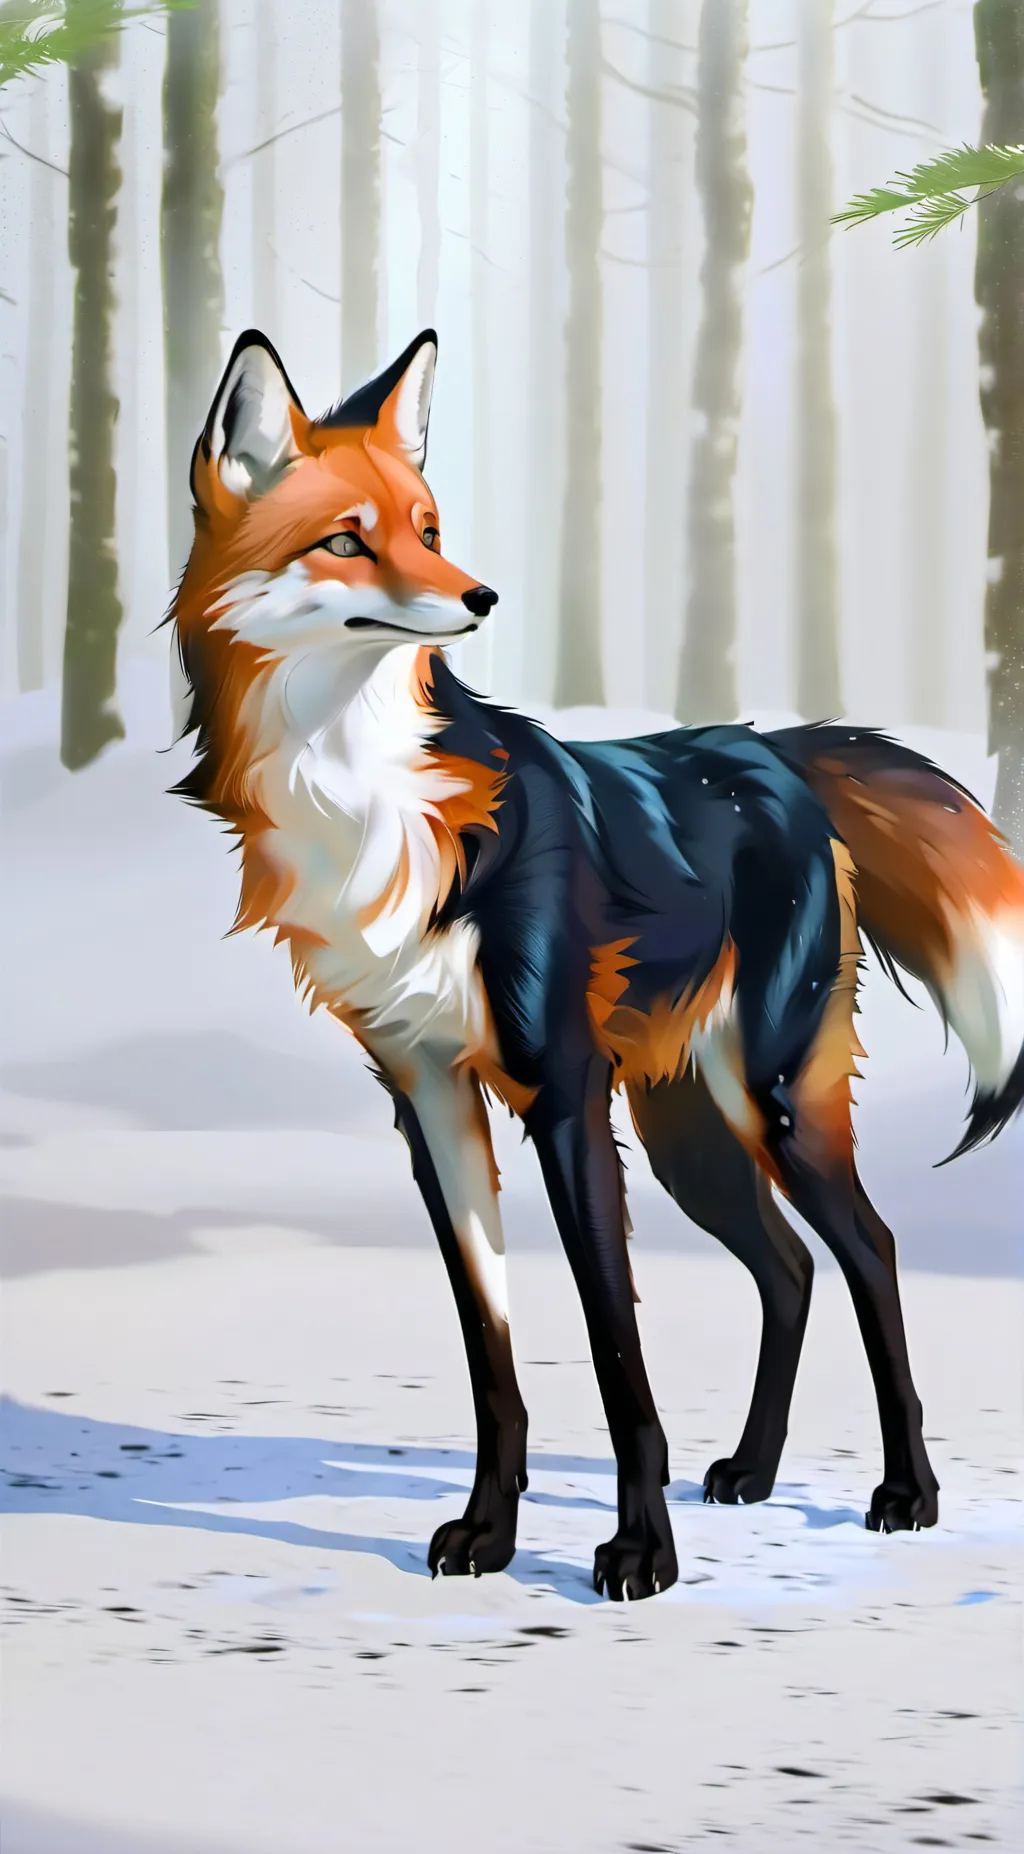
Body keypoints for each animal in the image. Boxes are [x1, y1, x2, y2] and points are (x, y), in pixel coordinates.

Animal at [172, 327, 1024, 1602]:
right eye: (346, 539)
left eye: (427, 525)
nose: (479, 596)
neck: (370, 809)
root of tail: (777, 751)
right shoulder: (429, 1100)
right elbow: (492, 1352)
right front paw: (488, 1534)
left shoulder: (563, 1094)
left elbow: (617, 1354)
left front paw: (639, 1555)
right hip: (687, 1133)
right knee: (789, 1268)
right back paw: (753, 1472)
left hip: (768, 1103)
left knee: (867, 1251)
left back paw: (905, 1493)